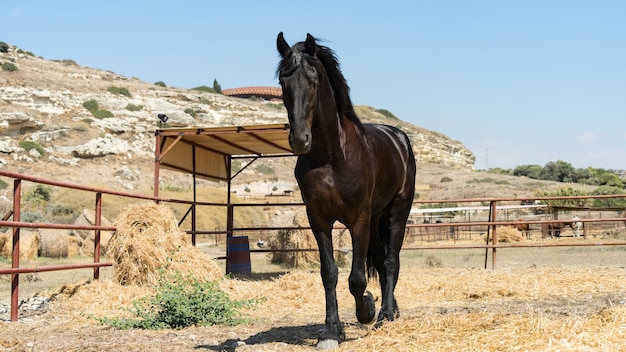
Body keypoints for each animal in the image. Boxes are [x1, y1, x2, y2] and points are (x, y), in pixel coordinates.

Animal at [276, 33, 414, 350]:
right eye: (283, 83)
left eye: (313, 81)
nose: (300, 140)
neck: (331, 157)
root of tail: (399, 137)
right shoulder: (319, 220)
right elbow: (329, 274)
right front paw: (331, 331)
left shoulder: (357, 219)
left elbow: (357, 279)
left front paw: (367, 309)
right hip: (375, 221)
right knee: (382, 262)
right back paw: (392, 307)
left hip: (396, 213)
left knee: (391, 262)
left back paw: (385, 315)